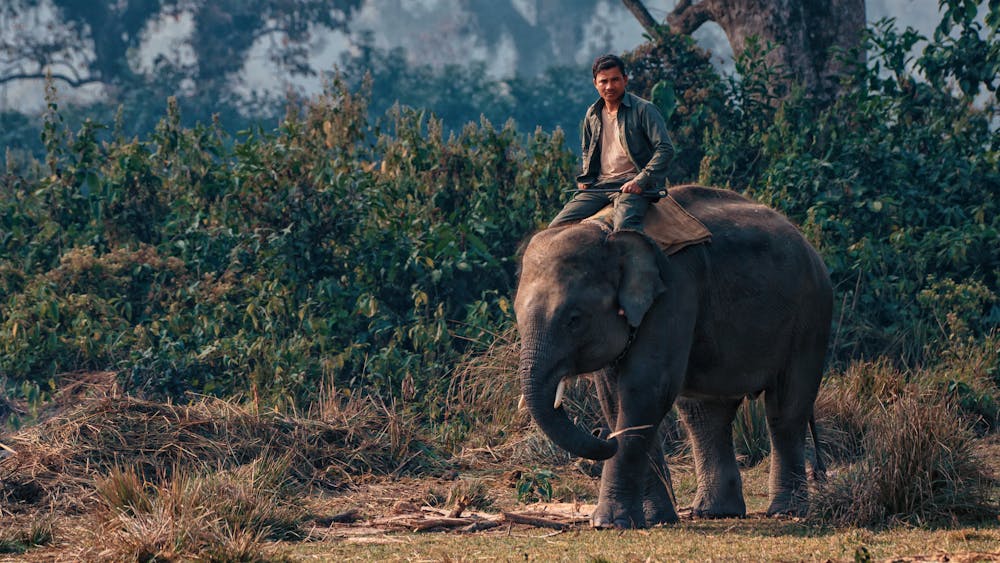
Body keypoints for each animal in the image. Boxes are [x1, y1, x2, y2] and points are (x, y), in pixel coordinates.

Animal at [512, 184, 832, 528]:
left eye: (574, 319)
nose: (604, 437)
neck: (607, 231)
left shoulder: (674, 291)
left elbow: (645, 388)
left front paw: (609, 523)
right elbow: (615, 397)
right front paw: (655, 519)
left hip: (811, 316)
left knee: (785, 409)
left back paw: (786, 512)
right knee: (705, 414)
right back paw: (715, 512)